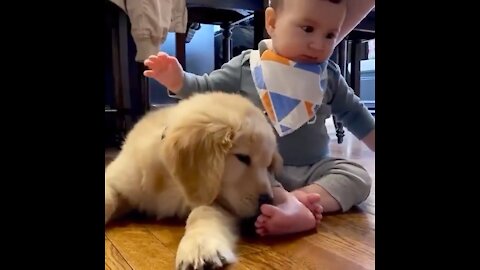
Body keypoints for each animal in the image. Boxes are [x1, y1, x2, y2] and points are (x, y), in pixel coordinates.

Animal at [103, 92, 280, 268]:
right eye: (243, 157)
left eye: (267, 165)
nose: (267, 201)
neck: (169, 181)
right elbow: (108, 197)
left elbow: (204, 212)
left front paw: (200, 246)